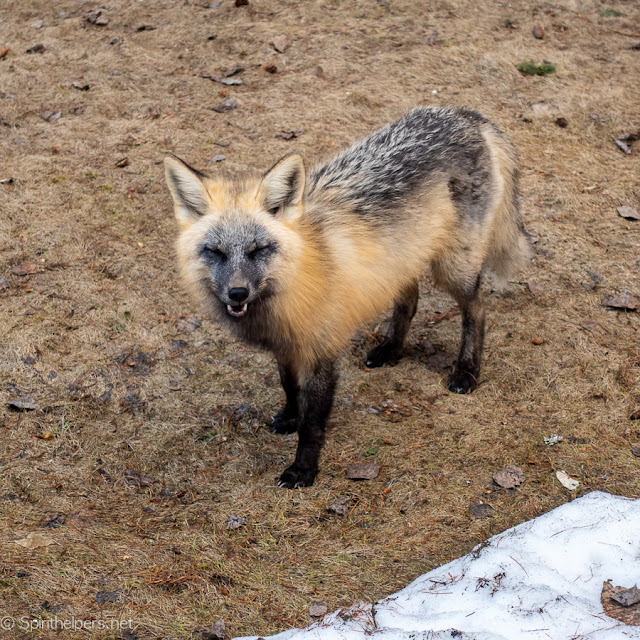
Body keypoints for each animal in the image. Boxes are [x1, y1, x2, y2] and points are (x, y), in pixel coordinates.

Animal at [164, 106, 529, 489]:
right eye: (215, 252)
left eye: (258, 250)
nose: (237, 293)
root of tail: (464, 113)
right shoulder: (287, 345)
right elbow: (289, 388)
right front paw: (289, 417)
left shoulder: (320, 352)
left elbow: (312, 424)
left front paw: (303, 470)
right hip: (399, 263)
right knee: (410, 299)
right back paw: (391, 350)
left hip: (453, 268)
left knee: (477, 311)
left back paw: (467, 369)